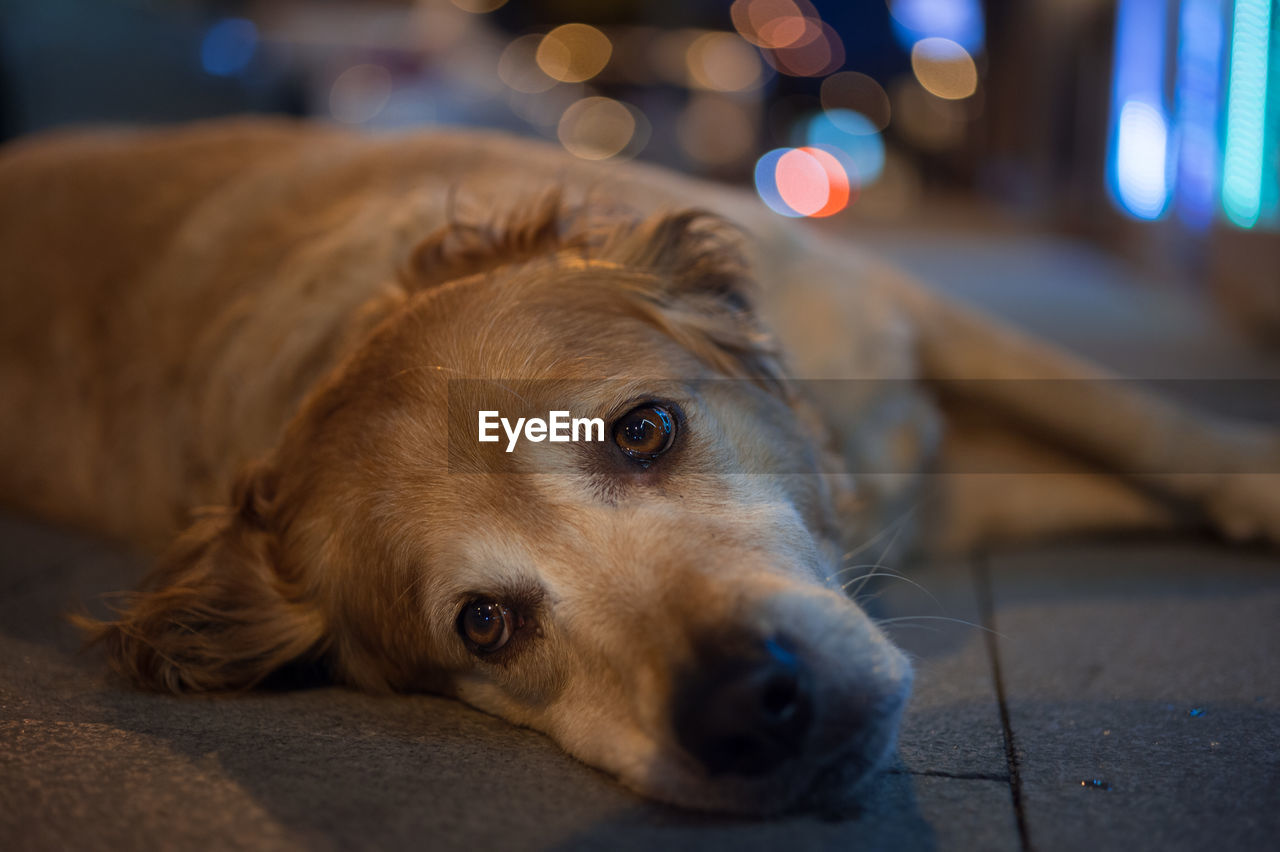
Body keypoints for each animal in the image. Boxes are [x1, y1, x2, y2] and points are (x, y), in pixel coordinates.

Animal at [0, 117, 1274, 808]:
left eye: (645, 430)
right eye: (482, 625)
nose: (752, 709)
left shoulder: (897, 314)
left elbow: (1136, 422)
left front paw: (1250, 475)